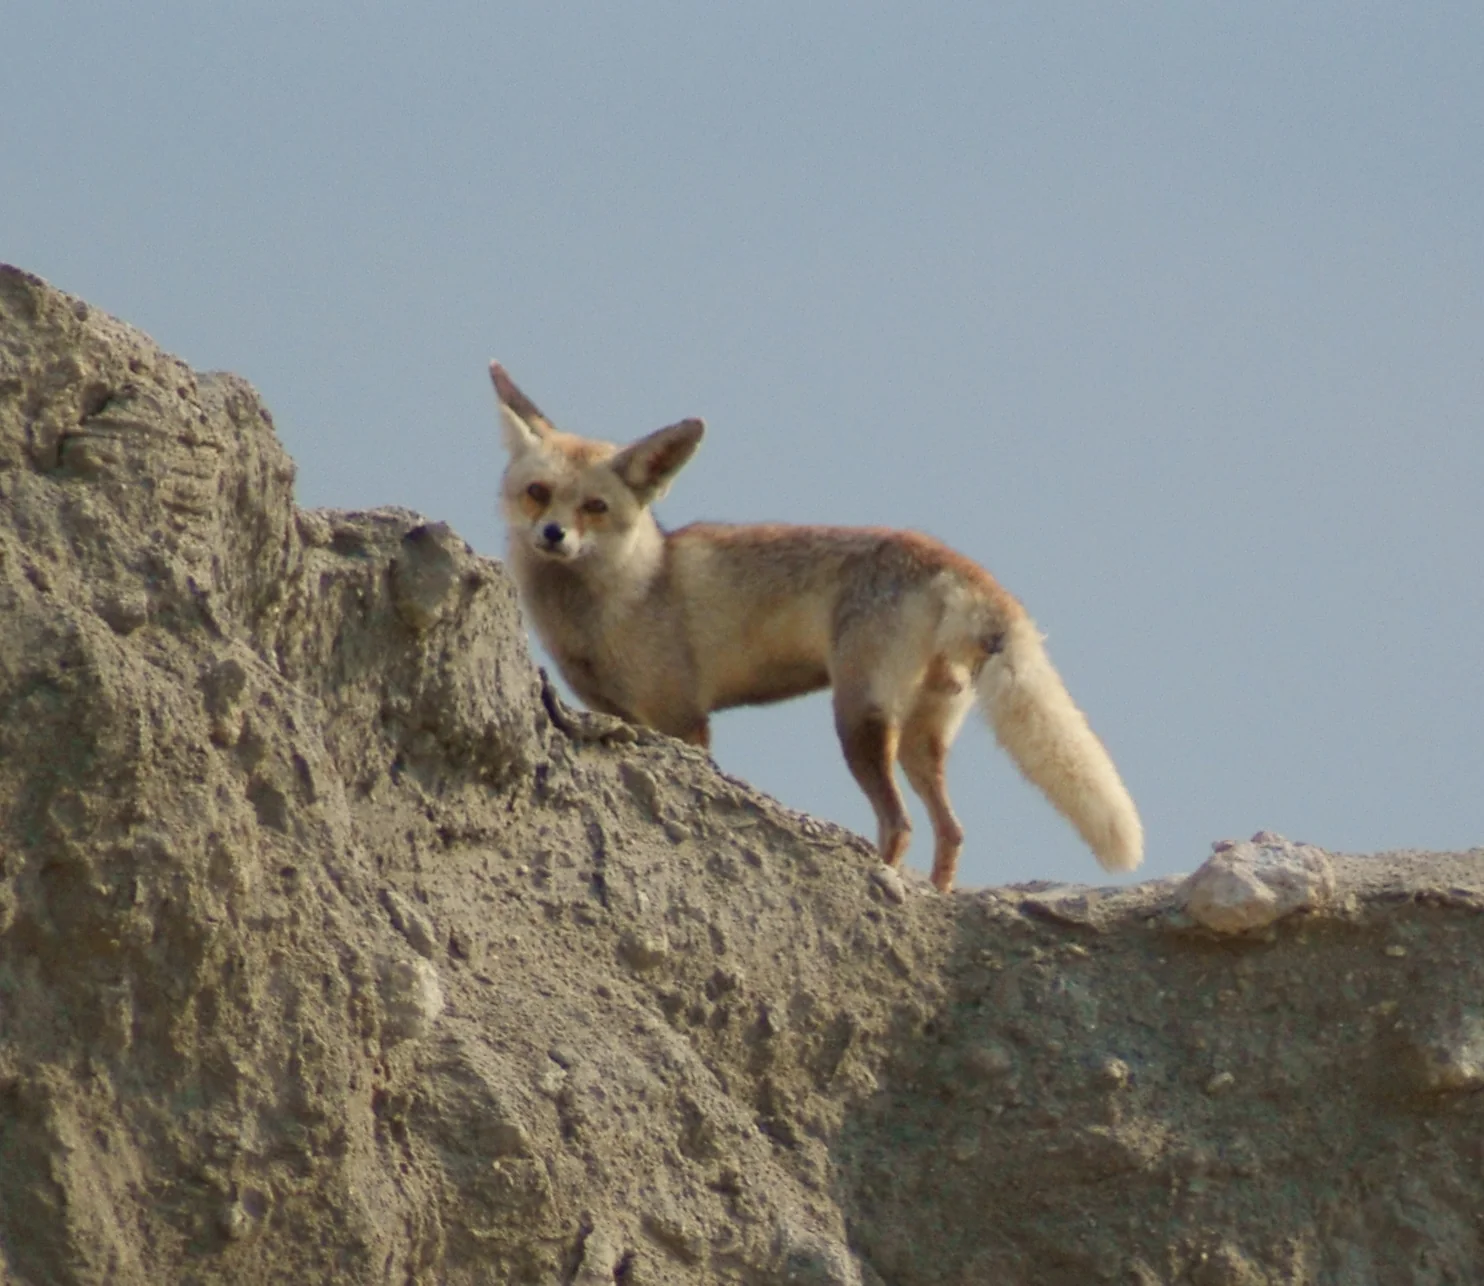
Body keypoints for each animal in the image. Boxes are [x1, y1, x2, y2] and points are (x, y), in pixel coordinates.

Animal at [489, 361, 1143, 892]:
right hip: (919, 739)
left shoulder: (683, 720)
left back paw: (887, 883)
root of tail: (952, 560)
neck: (629, 591)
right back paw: (938, 894)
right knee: (952, 832)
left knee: (901, 825)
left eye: (595, 508)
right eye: (537, 493)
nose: (553, 536)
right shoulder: (618, 713)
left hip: (858, 719)